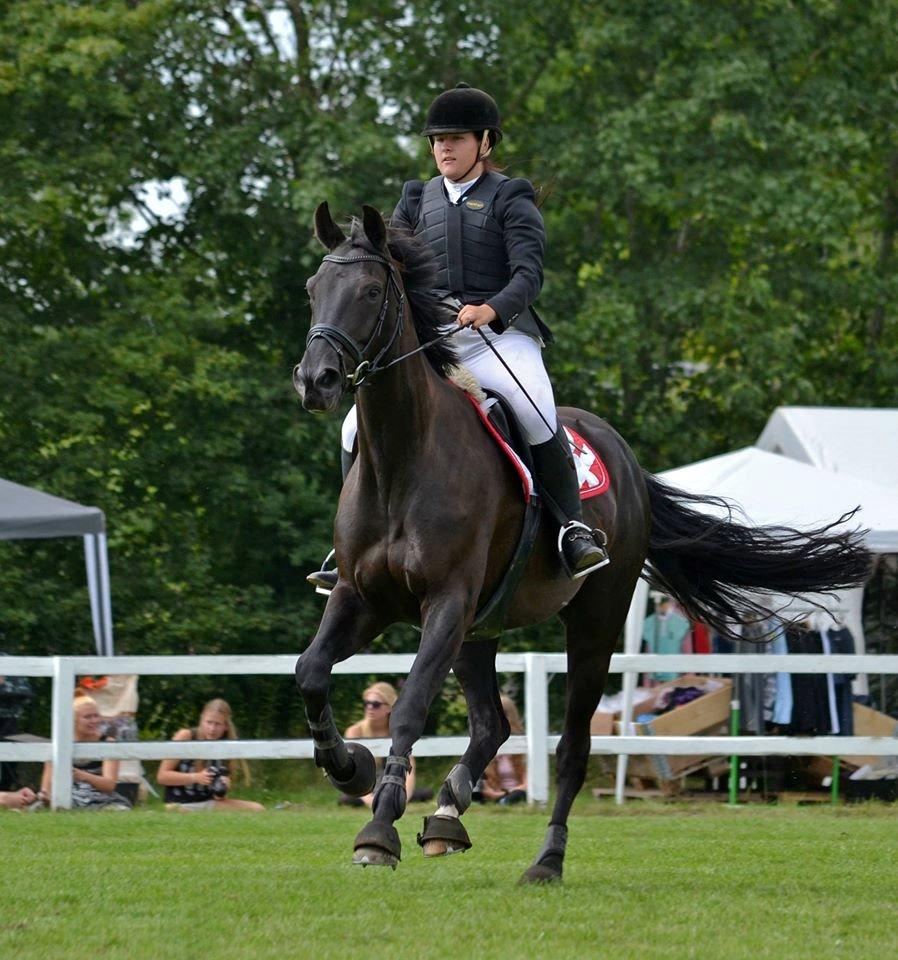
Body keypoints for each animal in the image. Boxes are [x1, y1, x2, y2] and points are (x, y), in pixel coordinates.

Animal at [292, 204, 868, 884]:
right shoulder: (362, 598)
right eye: (313, 289)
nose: (316, 380)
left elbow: (408, 707)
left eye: (370, 292)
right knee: (491, 726)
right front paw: (348, 766)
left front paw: (378, 830)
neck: (402, 459)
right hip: (481, 627)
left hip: (591, 622)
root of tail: (628, 461)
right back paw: (449, 812)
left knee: (572, 745)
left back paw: (544, 860)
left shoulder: (446, 604)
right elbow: (310, 672)